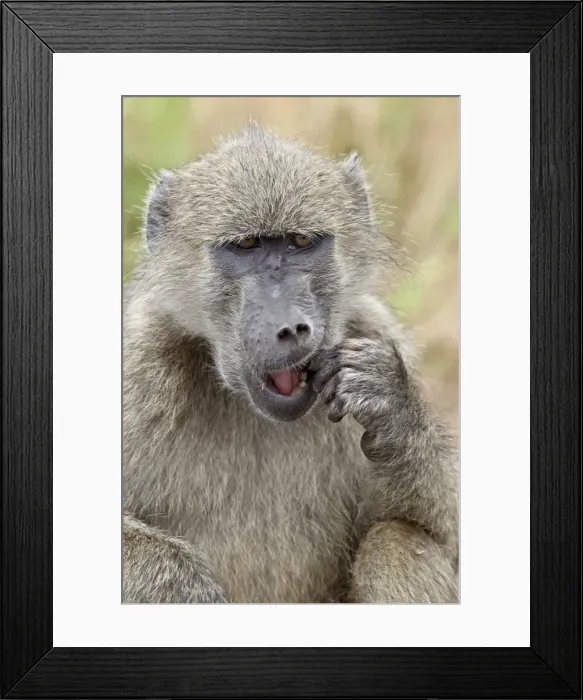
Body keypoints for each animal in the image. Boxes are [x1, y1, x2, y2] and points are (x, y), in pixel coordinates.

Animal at [123, 125, 459, 604]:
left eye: (301, 242)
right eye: (245, 245)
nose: (291, 327)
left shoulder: (374, 332)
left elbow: (446, 538)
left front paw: (390, 402)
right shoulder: (138, 373)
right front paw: (188, 590)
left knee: (396, 541)